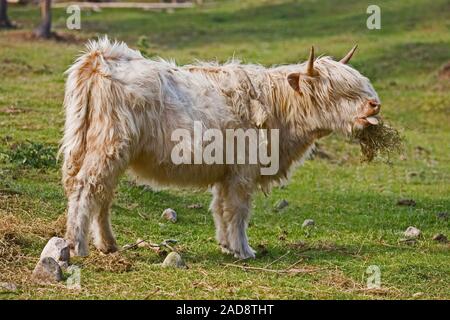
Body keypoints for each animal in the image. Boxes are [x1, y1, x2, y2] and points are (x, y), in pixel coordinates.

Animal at [61, 37, 382, 258]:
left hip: (104, 151)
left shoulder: (226, 172)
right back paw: (77, 245)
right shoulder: (243, 171)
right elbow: (238, 210)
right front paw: (244, 250)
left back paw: (107, 244)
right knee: (86, 188)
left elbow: (220, 208)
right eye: (338, 91)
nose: (374, 104)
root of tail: (101, 56)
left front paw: (227, 245)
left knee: (102, 193)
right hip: (108, 148)